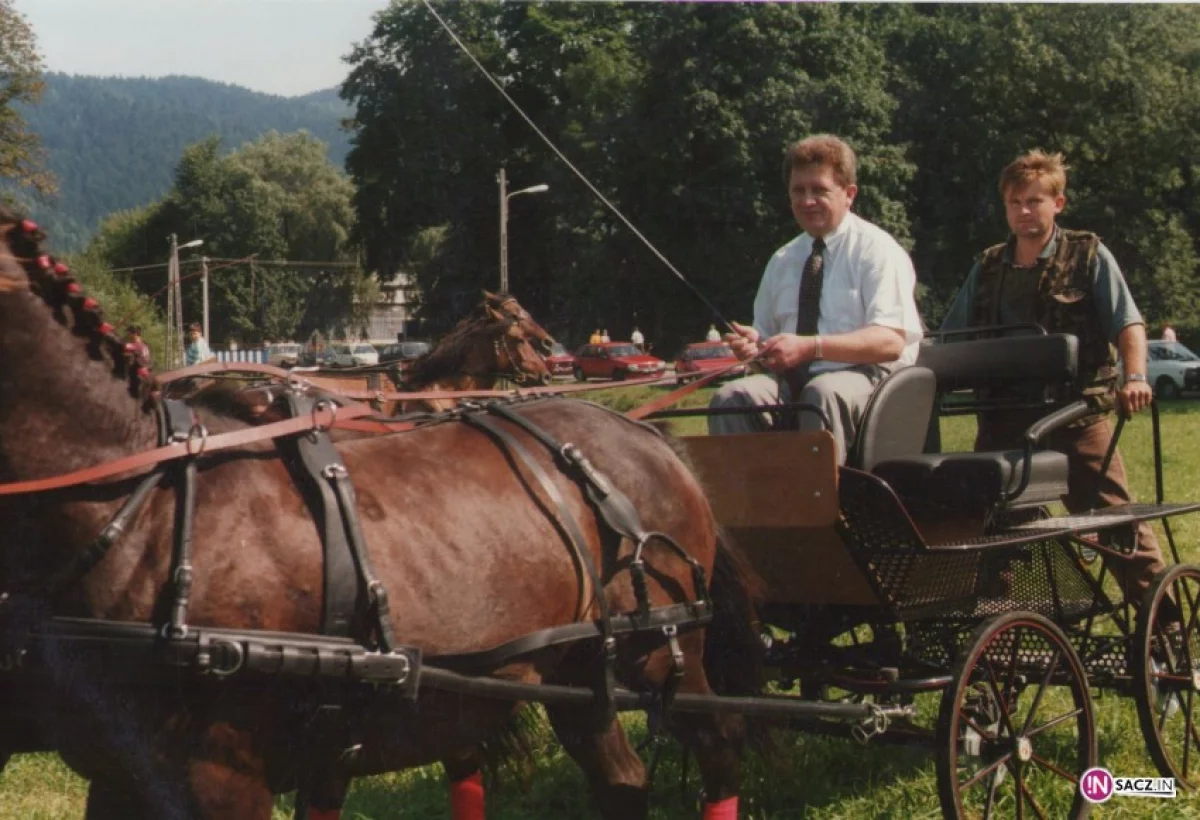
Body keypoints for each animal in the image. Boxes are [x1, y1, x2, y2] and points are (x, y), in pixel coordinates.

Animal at [0, 208, 763, 816]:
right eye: (519, 328)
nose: (554, 356)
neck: (143, 506)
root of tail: (647, 435)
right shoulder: (120, 774)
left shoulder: (223, 774)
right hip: (580, 669)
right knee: (622, 779)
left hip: (661, 649)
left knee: (721, 747)